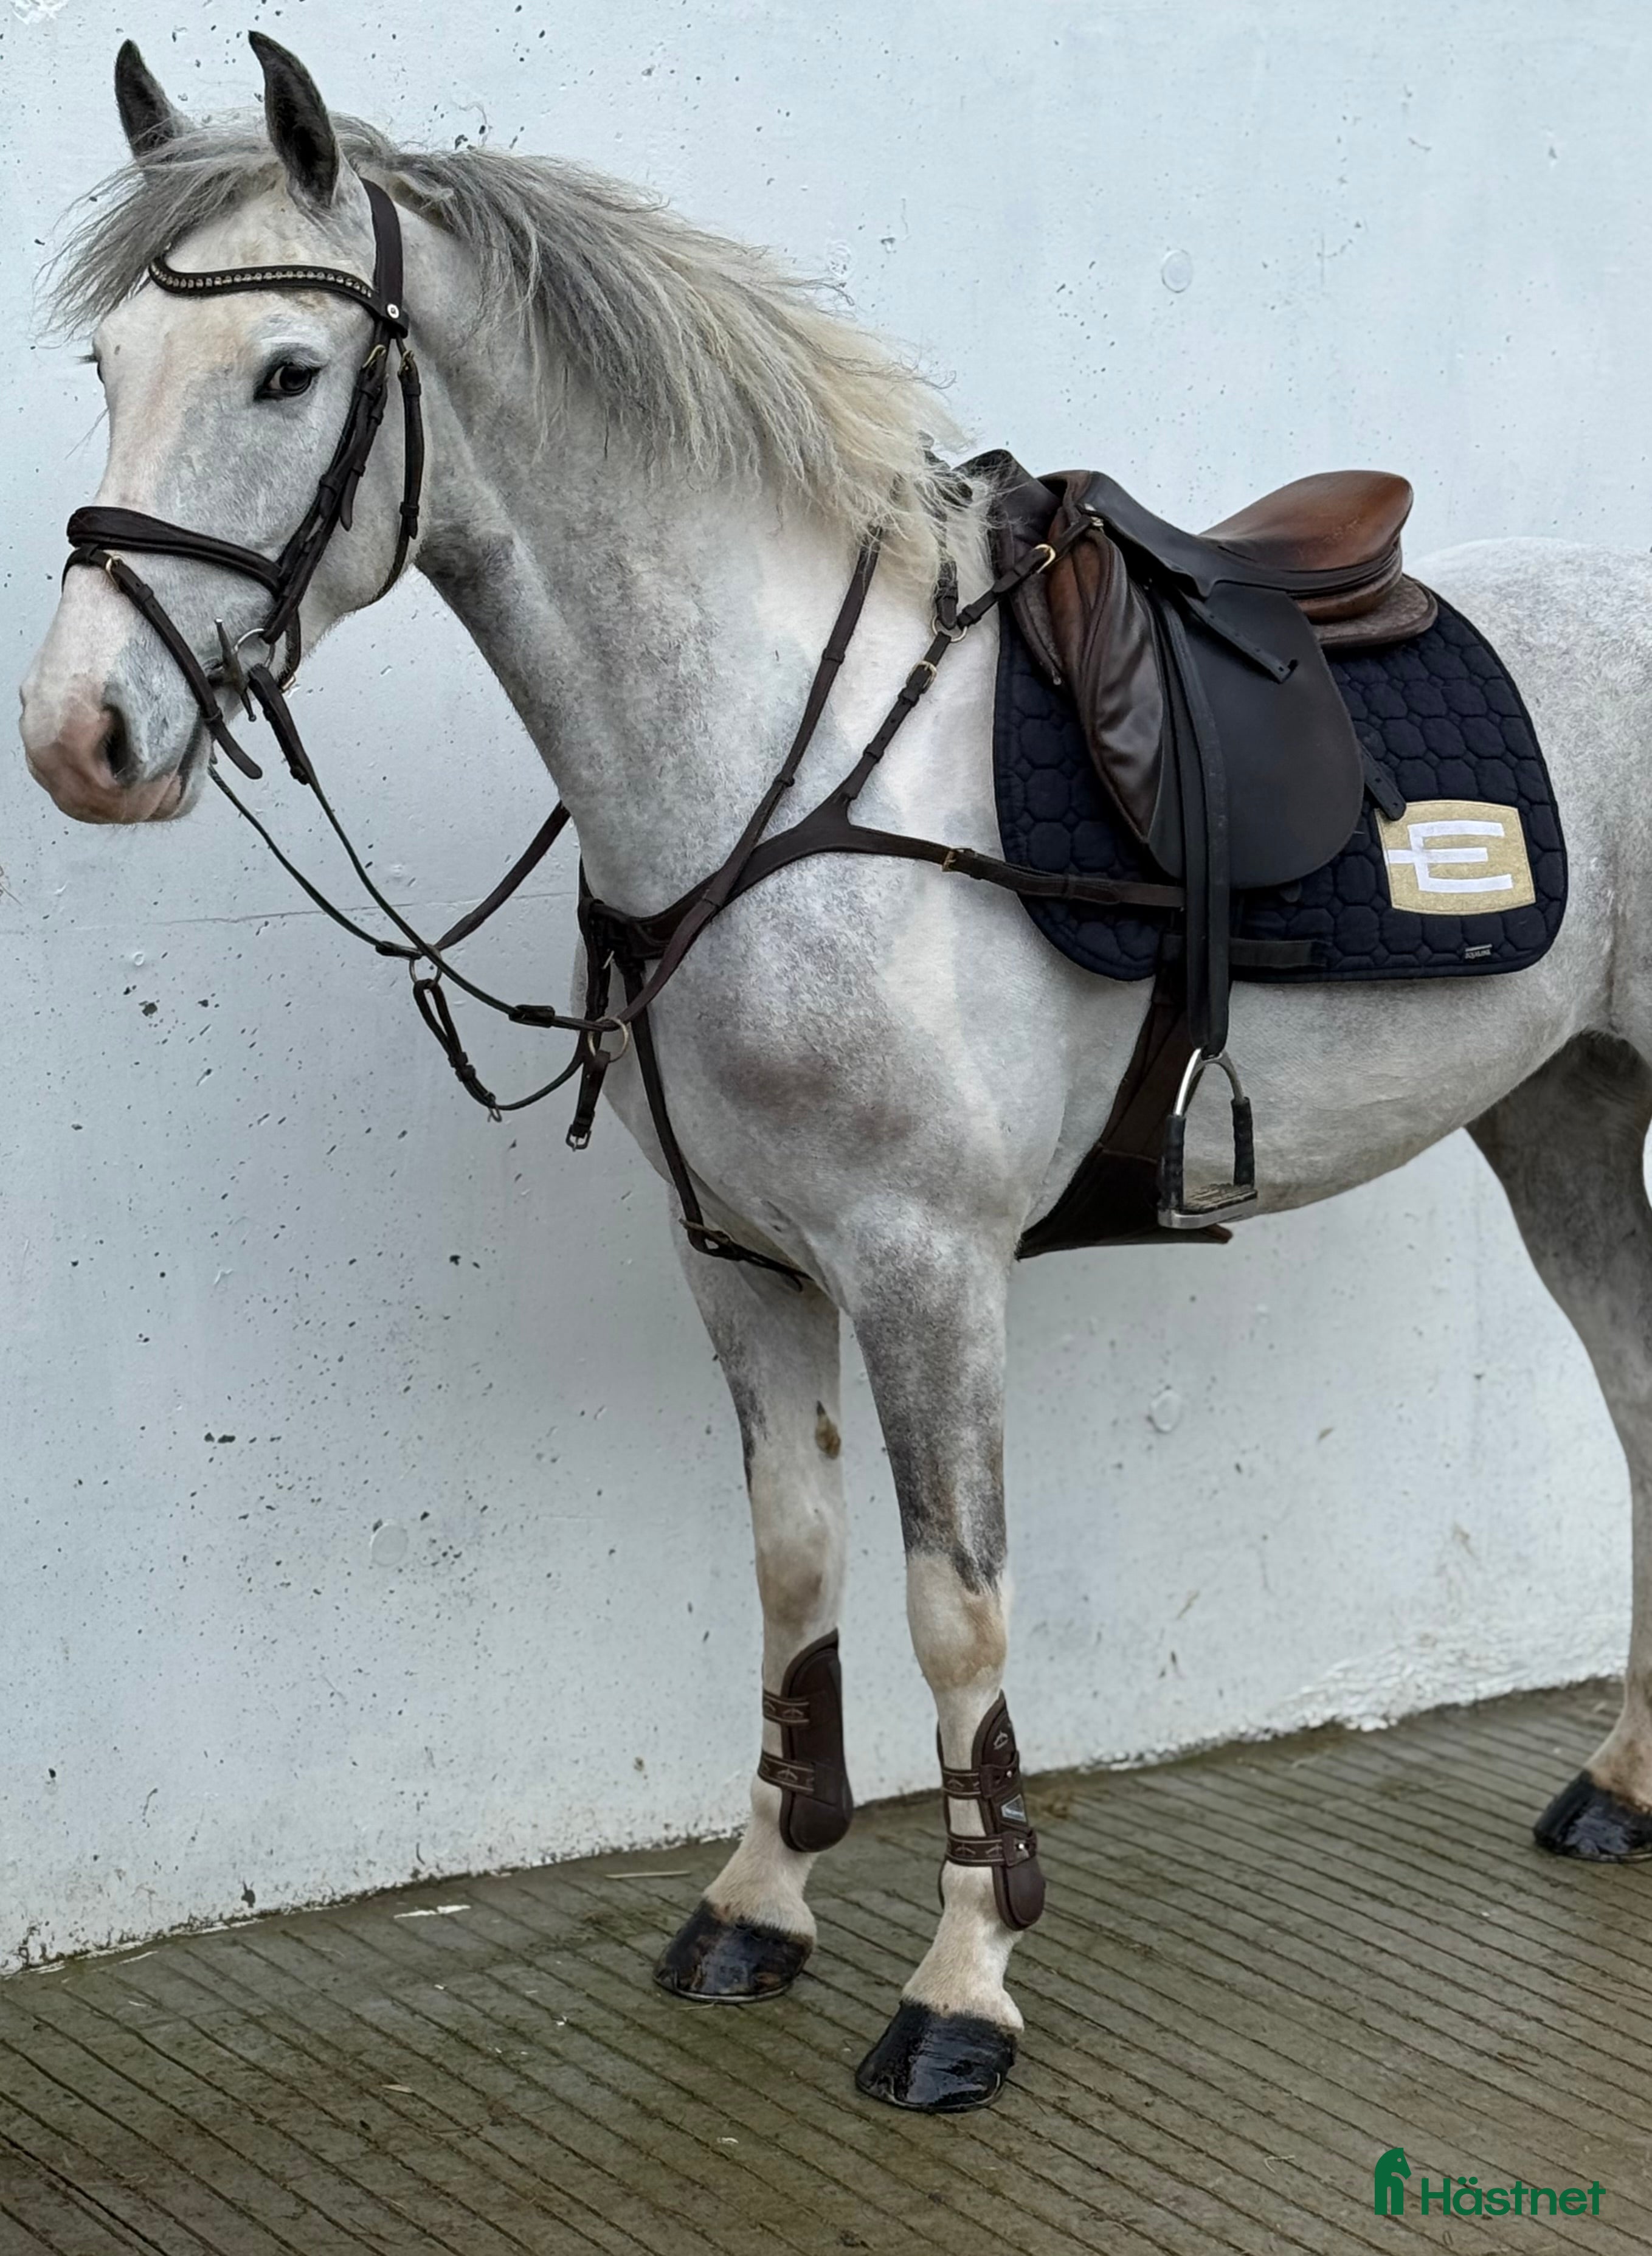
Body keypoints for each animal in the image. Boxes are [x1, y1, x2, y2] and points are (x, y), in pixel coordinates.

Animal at [20, 34, 1652, 2114]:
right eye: (109, 366)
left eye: (287, 372)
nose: (82, 734)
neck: (774, 764)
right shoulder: (738, 1262)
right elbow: (792, 1575)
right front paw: (757, 1900)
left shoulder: (924, 1268)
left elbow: (953, 1613)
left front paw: (961, 1987)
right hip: (1562, 1112)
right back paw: (1616, 1783)